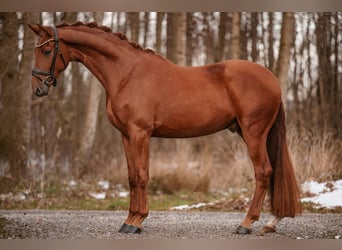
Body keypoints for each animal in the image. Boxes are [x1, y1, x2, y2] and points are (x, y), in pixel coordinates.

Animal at [29, 21, 302, 234]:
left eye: (47, 50)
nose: (38, 88)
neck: (126, 73)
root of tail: (271, 79)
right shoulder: (126, 135)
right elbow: (132, 176)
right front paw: (130, 220)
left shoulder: (140, 133)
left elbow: (142, 176)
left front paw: (136, 221)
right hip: (253, 134)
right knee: (272, 171)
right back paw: (271, 222)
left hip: (254, 132)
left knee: (263, 172)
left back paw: (246, 223)